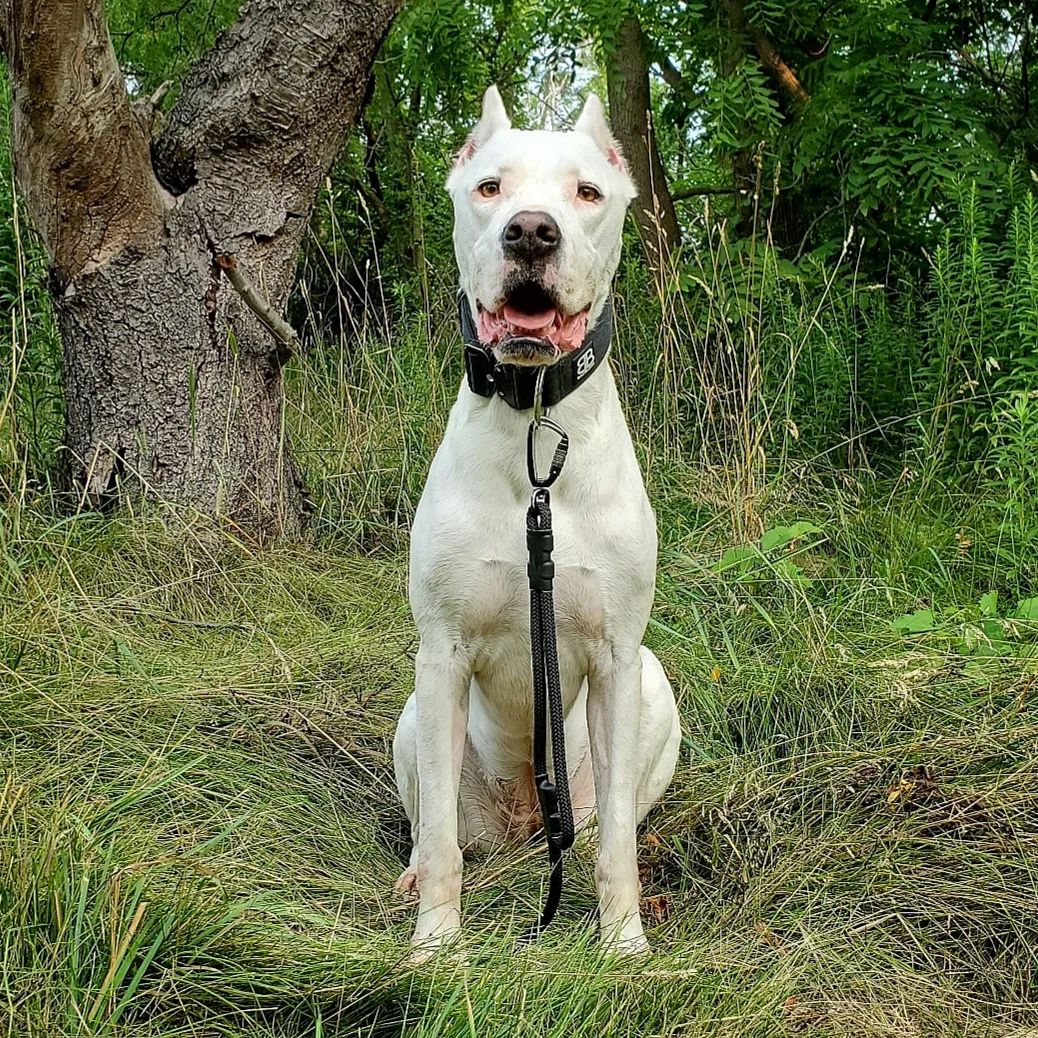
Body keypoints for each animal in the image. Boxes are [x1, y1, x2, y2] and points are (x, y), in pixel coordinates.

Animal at [390, 85, 680, 950]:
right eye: (490, 187)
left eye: (587, 193)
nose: (530, 231)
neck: (534, 411)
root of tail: (528, 819)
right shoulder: (442, 655)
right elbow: (442, 843)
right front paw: (435, 948)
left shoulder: (617, 659)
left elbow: (615, 844)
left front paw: (625, 945)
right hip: (413, 715)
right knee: (435, 828)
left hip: (654, 689)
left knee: (611, 824)